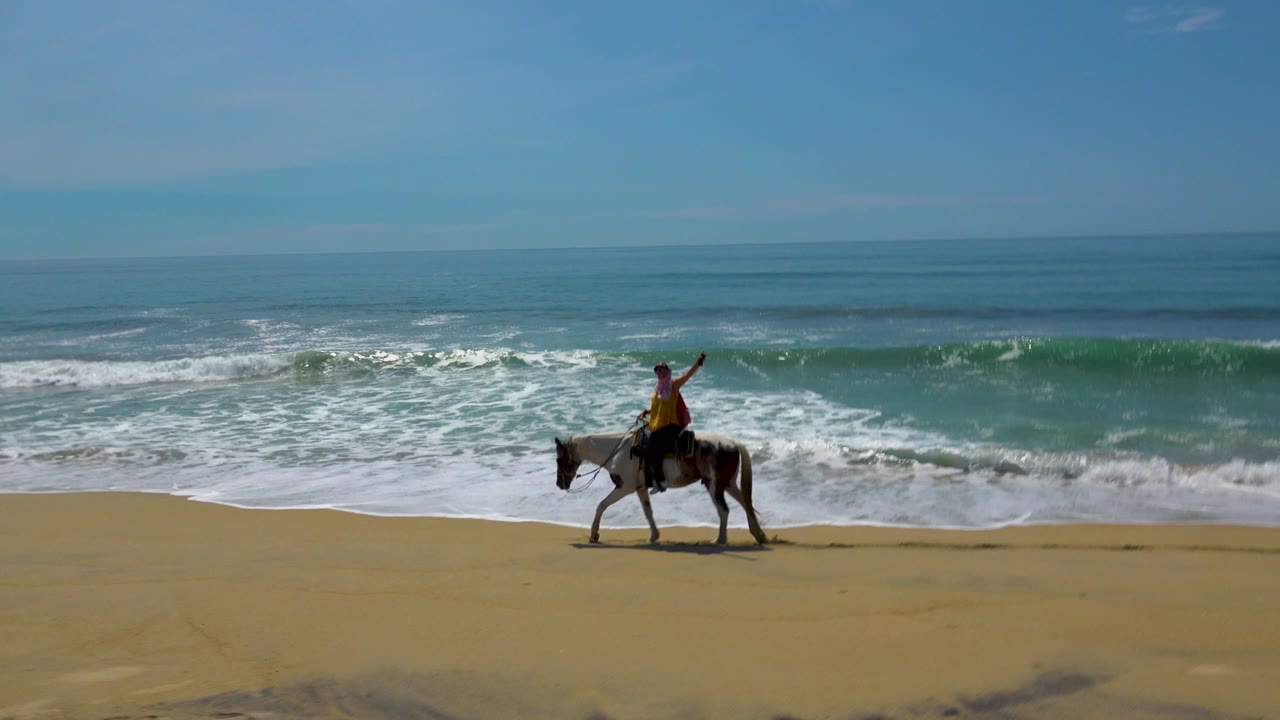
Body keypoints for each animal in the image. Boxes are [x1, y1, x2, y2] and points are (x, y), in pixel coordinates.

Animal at [554, 430, 768, 545]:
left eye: (559, 459)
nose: (559, 484)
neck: (617, 451)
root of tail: (733, 443)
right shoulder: (640, 488)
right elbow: (648, 511)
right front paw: (654, 535)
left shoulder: (624, 487)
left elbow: (601, 505)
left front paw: (594, 534)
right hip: (729, 484)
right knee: (745, 502)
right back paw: (758, 534)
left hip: (714, 485)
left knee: (724, 510)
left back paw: (720, 540)